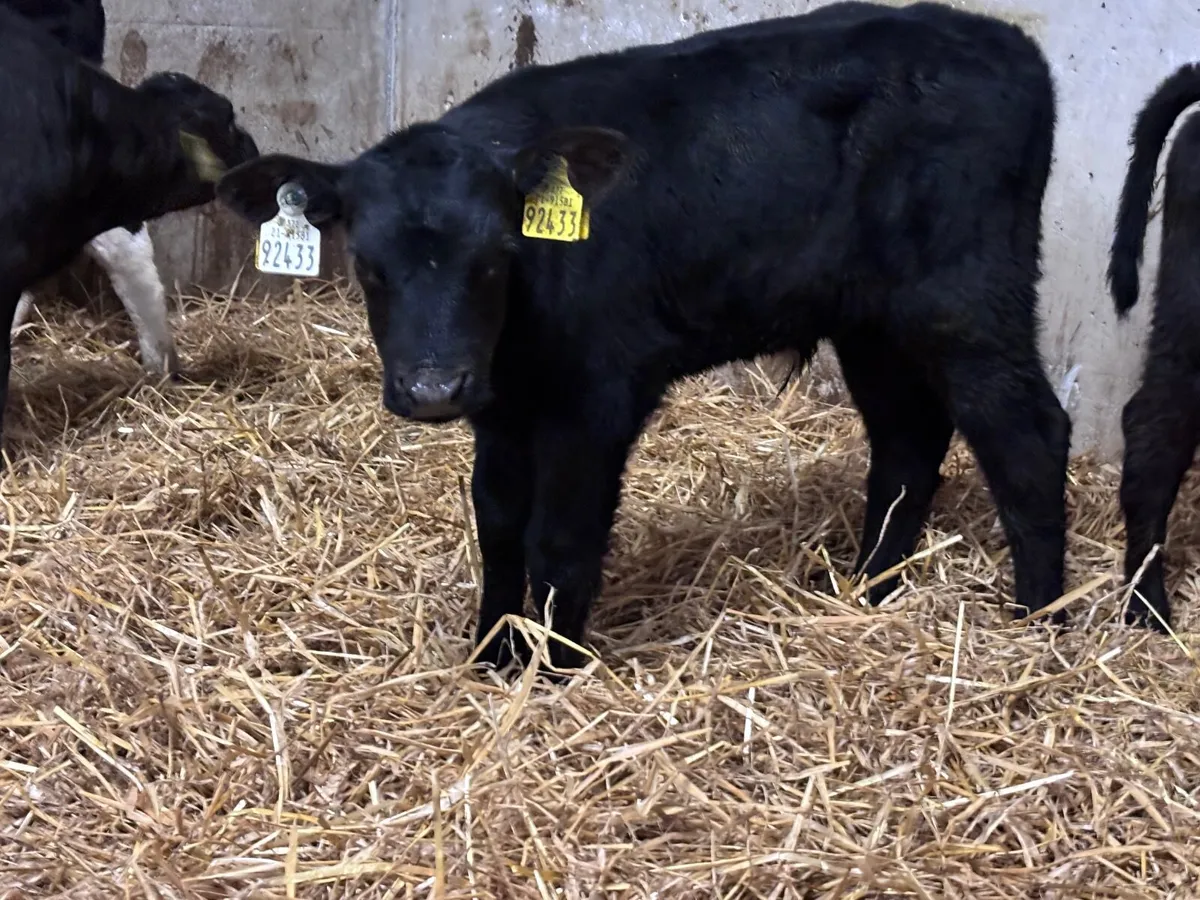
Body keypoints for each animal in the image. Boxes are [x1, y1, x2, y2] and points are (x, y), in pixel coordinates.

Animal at [216, 1, 1070, 676]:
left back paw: (1040, 623)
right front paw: (492, 654)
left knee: (1027, 435)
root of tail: (1004, 41)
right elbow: (498, 526)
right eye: (368, 264)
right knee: (905, 444)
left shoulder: (596, 398)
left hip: (968, 294)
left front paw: (552, 672)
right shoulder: (502, 407)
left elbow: (561, 540)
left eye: (495, 258)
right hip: (871, 319)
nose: (433, 389)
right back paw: (868, 591)